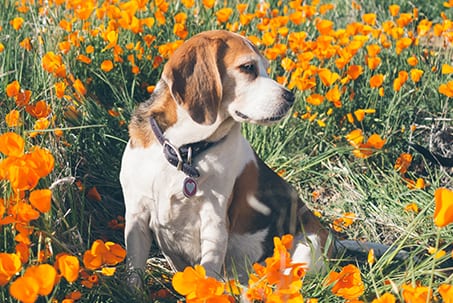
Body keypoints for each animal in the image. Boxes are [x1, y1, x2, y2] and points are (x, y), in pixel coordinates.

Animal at [120, 29, 332, 286]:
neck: (184, 150)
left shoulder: (214, 223)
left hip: (306, 250)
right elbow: (134, 273)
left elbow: (208, 271)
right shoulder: (137, 215)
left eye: (265, 67)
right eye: (248, 67)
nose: (291, 97)